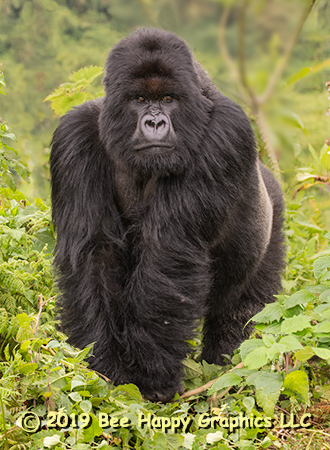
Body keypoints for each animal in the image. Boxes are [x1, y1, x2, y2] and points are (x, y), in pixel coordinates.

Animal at [50, 28, 284, 402]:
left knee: (242, 315)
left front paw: (152, 379)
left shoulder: (225, 131)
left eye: (169, 98)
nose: (156, 122)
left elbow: (167, 251)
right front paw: (106, 368)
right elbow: (93, 253)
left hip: (273, 216)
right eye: (140, 100)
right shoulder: (75, 134)